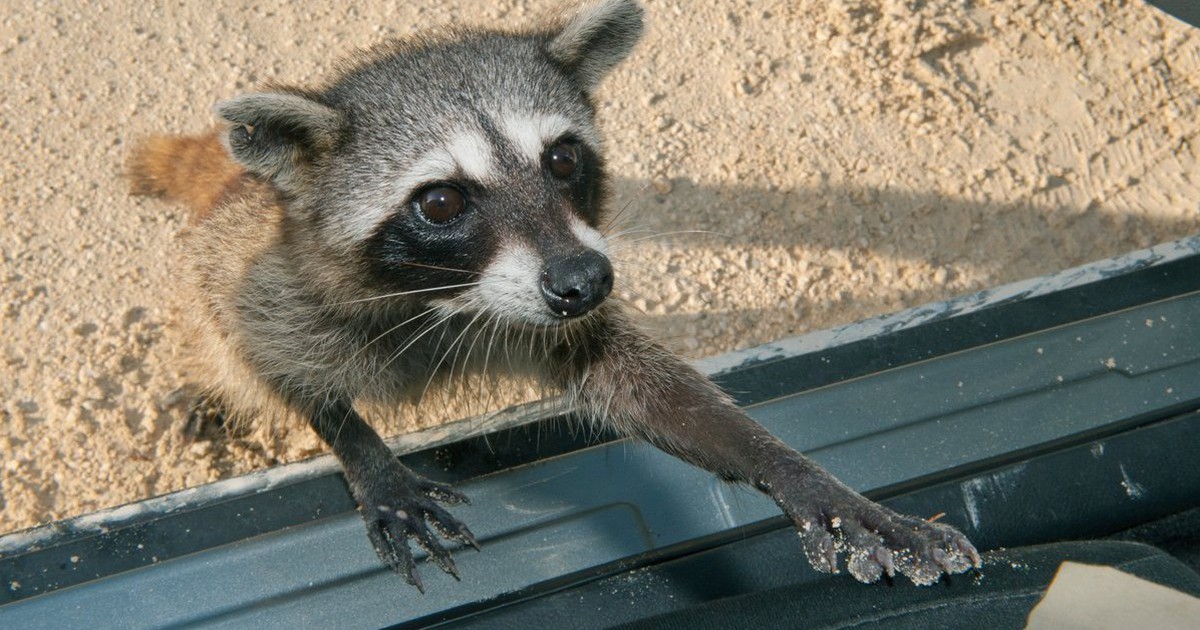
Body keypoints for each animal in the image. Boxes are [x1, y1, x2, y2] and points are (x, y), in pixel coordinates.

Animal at [127, 0, 980, 592]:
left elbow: (653, 392)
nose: (589, 281)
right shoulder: (269, 285)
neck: (449, 298)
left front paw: (800, 476)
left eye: (564, 158)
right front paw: (359, 446)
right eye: (441, 202)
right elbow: (272, 361)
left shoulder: (557, 301)